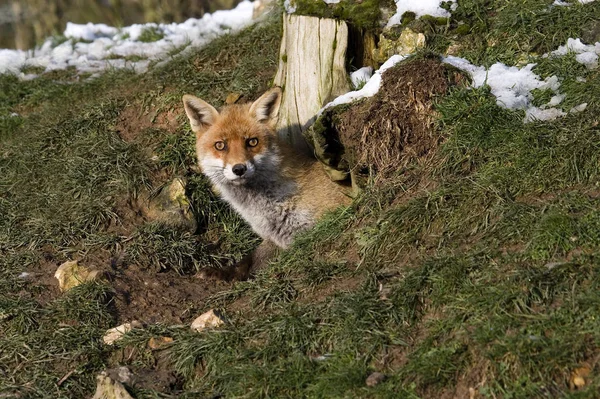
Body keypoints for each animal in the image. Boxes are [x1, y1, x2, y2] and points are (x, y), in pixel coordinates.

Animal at [183, 88, 352, 280]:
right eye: (220, 145)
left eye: (252, 142)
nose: (239, 169)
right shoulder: (275, 240)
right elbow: (248, 262)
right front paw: (222, 273)